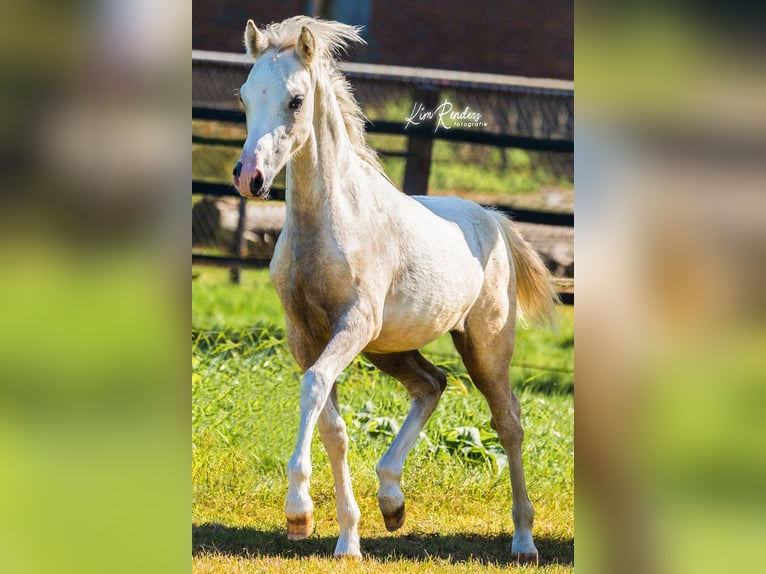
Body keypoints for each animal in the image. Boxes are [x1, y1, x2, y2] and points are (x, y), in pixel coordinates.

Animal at [231, 15, 560, 564]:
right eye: (243, 96)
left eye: (296, 100)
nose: (248, 178)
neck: (330, 223)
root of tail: (492, 219)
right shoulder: (306, 336)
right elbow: (333, 426)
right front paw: (346, 538)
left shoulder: (353, 325)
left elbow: (313, 388)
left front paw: (298, 511)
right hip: (390, 348)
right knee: (431, 385)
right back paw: (392, 501)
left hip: (484, 347)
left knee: (508, 422)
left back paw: (523, 540)